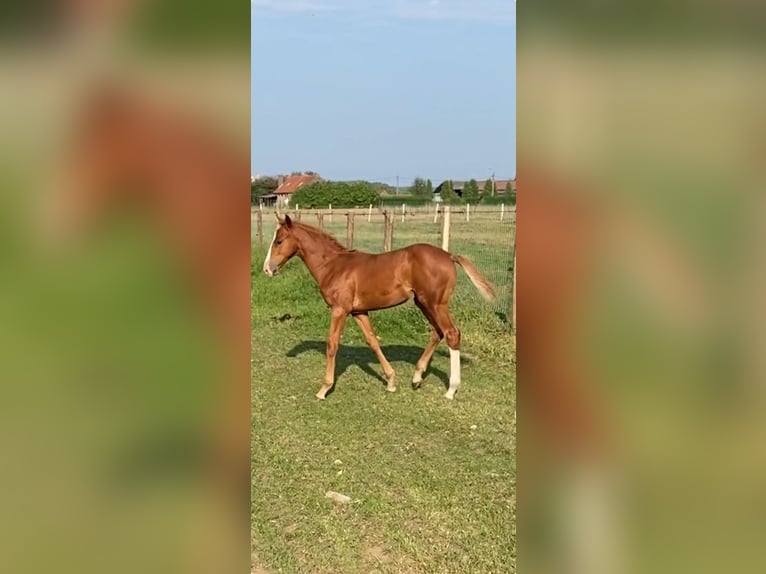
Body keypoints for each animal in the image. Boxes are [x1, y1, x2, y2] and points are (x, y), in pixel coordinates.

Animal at [260, 215, 496, 400]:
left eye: (279, 241)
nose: (267, 269)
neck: (334, 266)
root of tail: (449, 256)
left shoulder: (339, 310)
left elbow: (332, 344)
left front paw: (324, 389)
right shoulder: (358, 312)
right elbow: (372, 341)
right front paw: (390, 381)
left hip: (435, 304)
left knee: (451, 334)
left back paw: (451, 390)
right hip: (423, 303)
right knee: (438, 333)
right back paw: (417, 377)